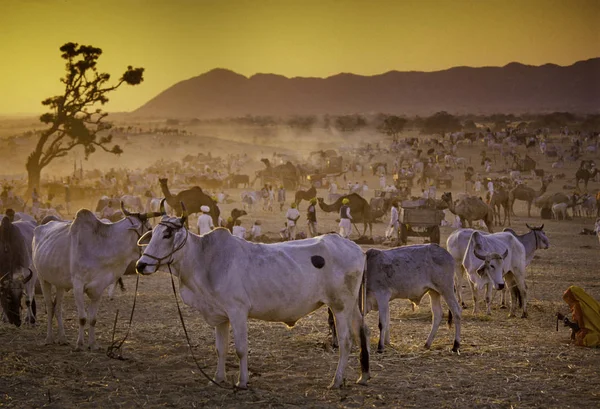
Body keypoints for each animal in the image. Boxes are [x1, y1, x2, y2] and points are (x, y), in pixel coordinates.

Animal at [32, 202, 164, 350]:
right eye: (150, 228)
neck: (101, 246)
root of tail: (39, 228)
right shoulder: (78, 286)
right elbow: (82, 318)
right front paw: (80, 344)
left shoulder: (98, 288)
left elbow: (93, 319)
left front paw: (93, 344)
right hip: (43, 279)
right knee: (50, 306)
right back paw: (49, 338)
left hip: (60, 283)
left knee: (58, 307)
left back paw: (62, 338)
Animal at [137, 212, 370, 388]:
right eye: (153, 234)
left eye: (167, 234)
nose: (141, 265)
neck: (204, 260)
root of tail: (356, 248)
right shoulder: (221, 316)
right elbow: (220, 349)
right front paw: (218, 379)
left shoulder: (237, 311)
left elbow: (240, 349)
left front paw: (242, 382)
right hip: (351, 307)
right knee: (361, 332)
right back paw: (363, 375)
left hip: (340, 306)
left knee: (346, 341)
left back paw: (337, 381)